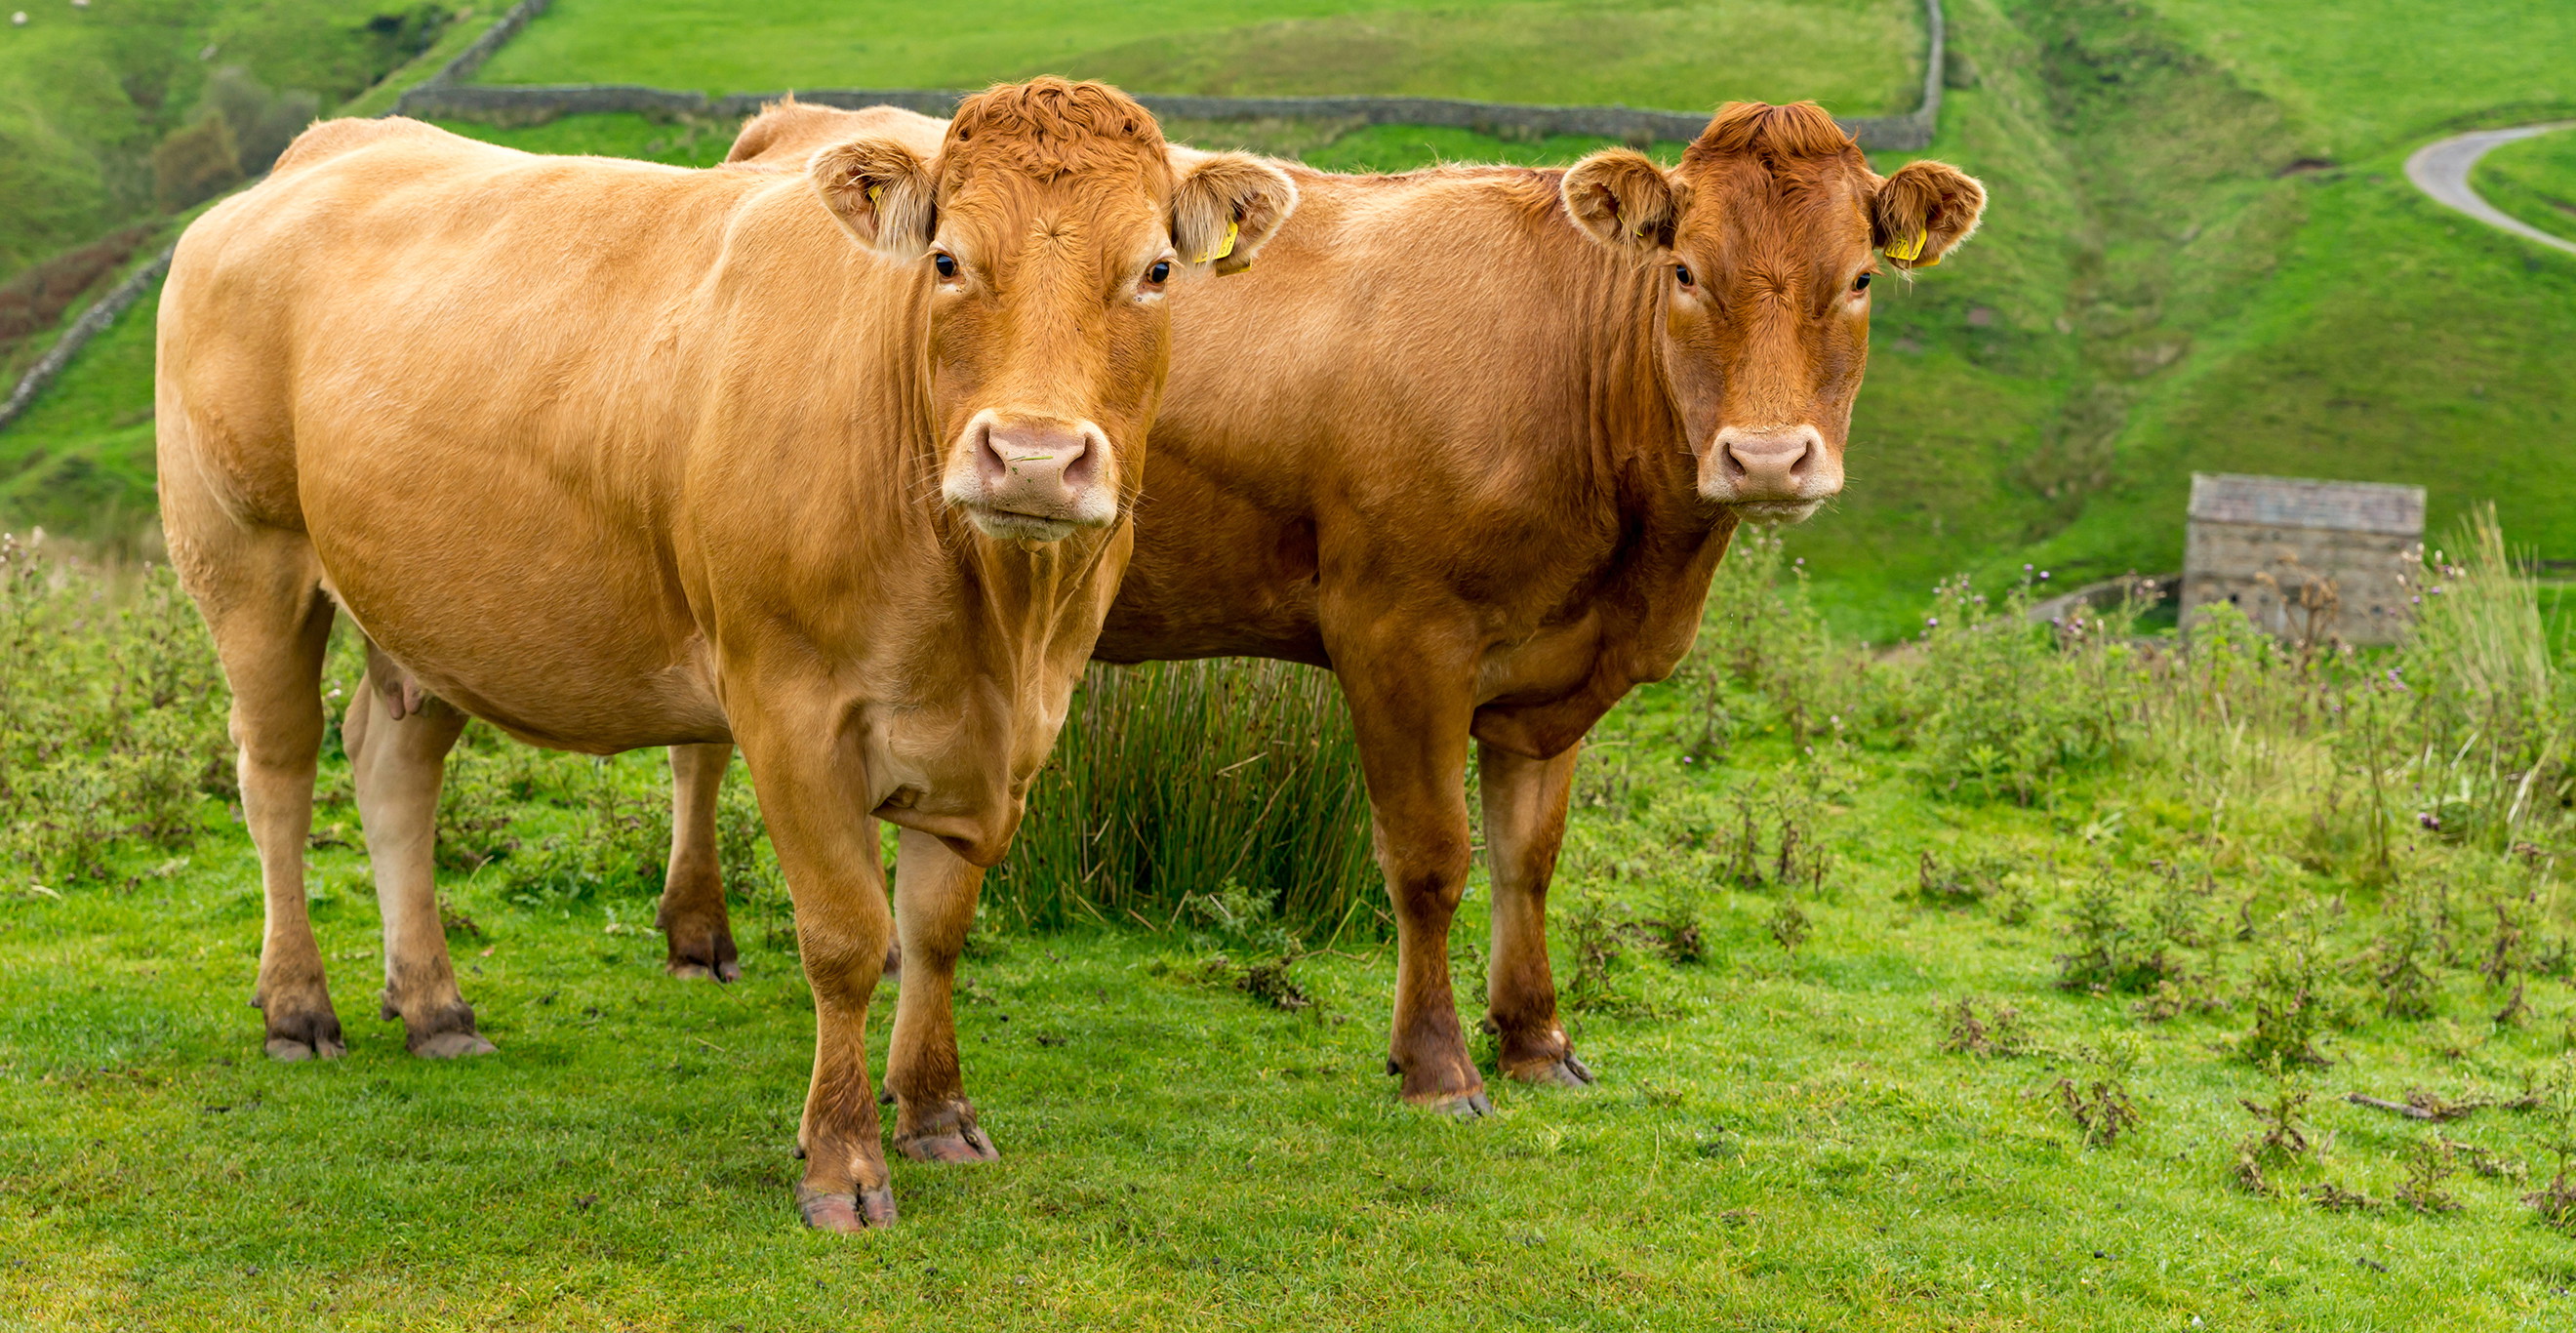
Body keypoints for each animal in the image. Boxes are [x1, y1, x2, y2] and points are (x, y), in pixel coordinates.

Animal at [155, 78, 1297, 1231]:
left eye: (1156, 270)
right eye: (946, 260)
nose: (1030, 457)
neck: (996, 624)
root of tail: (319, 153)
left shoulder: (1009, 730)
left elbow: (936, 926)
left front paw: (935, 1113)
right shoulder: (787, 705)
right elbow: (845, 936)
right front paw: (842, 1161)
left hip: (426, 605)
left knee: (394, 771)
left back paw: (435, 1004)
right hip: (248, 559)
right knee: (279, 776)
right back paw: (298, 1007)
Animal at [671, 96, 1984, 1144]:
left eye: (1860, 281)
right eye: (1686, 274)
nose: (1768, 458)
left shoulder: (1550, 678)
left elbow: (1531, 860)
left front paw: (1537, 1040)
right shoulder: (1400, 638)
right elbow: (1433, 859)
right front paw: (1441, 1064)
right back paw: (702, 935)